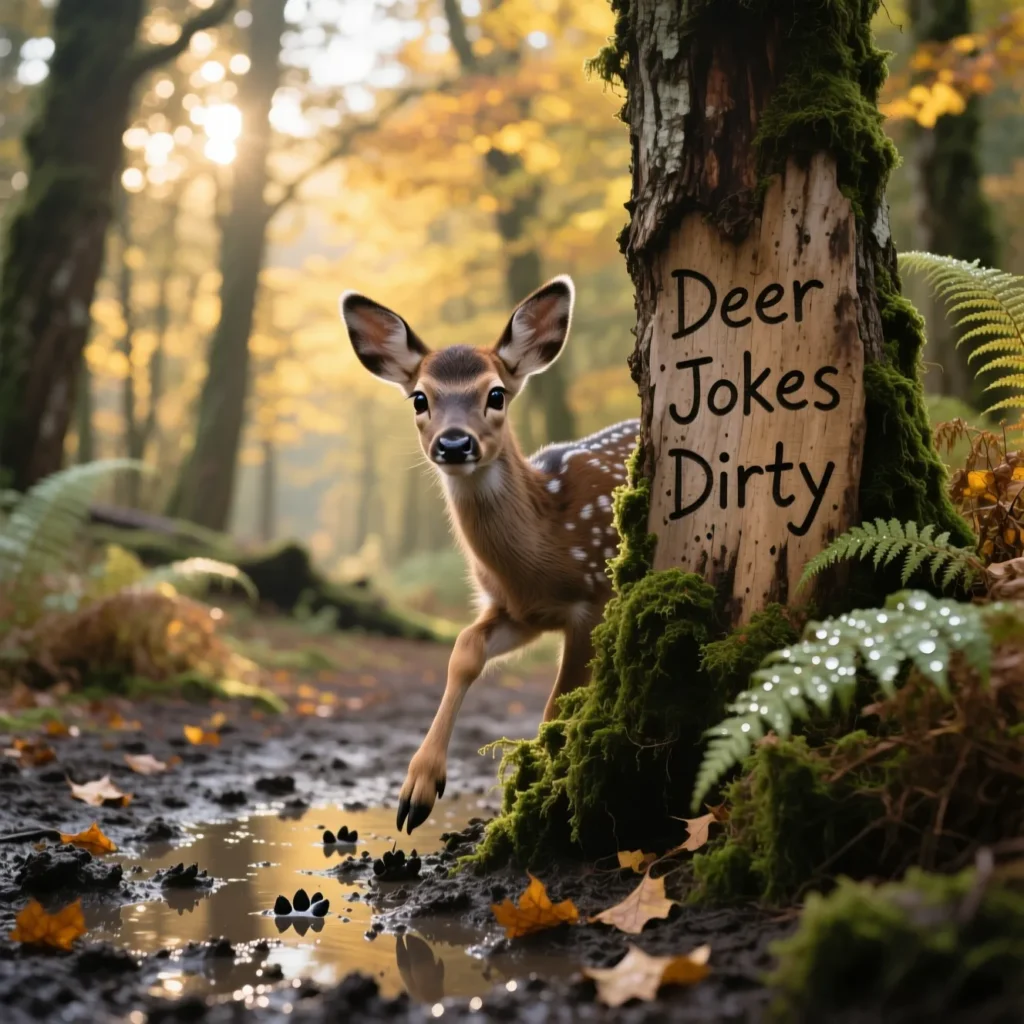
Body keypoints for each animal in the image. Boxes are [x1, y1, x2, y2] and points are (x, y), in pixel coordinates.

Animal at [340, 275, 639, 834]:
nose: (455, 444)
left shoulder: (592, 597)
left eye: (495, 393)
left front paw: (538, 789)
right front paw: (418, 789)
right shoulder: (517, 610)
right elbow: (463, 651)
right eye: (419, 398)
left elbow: (555, 705)